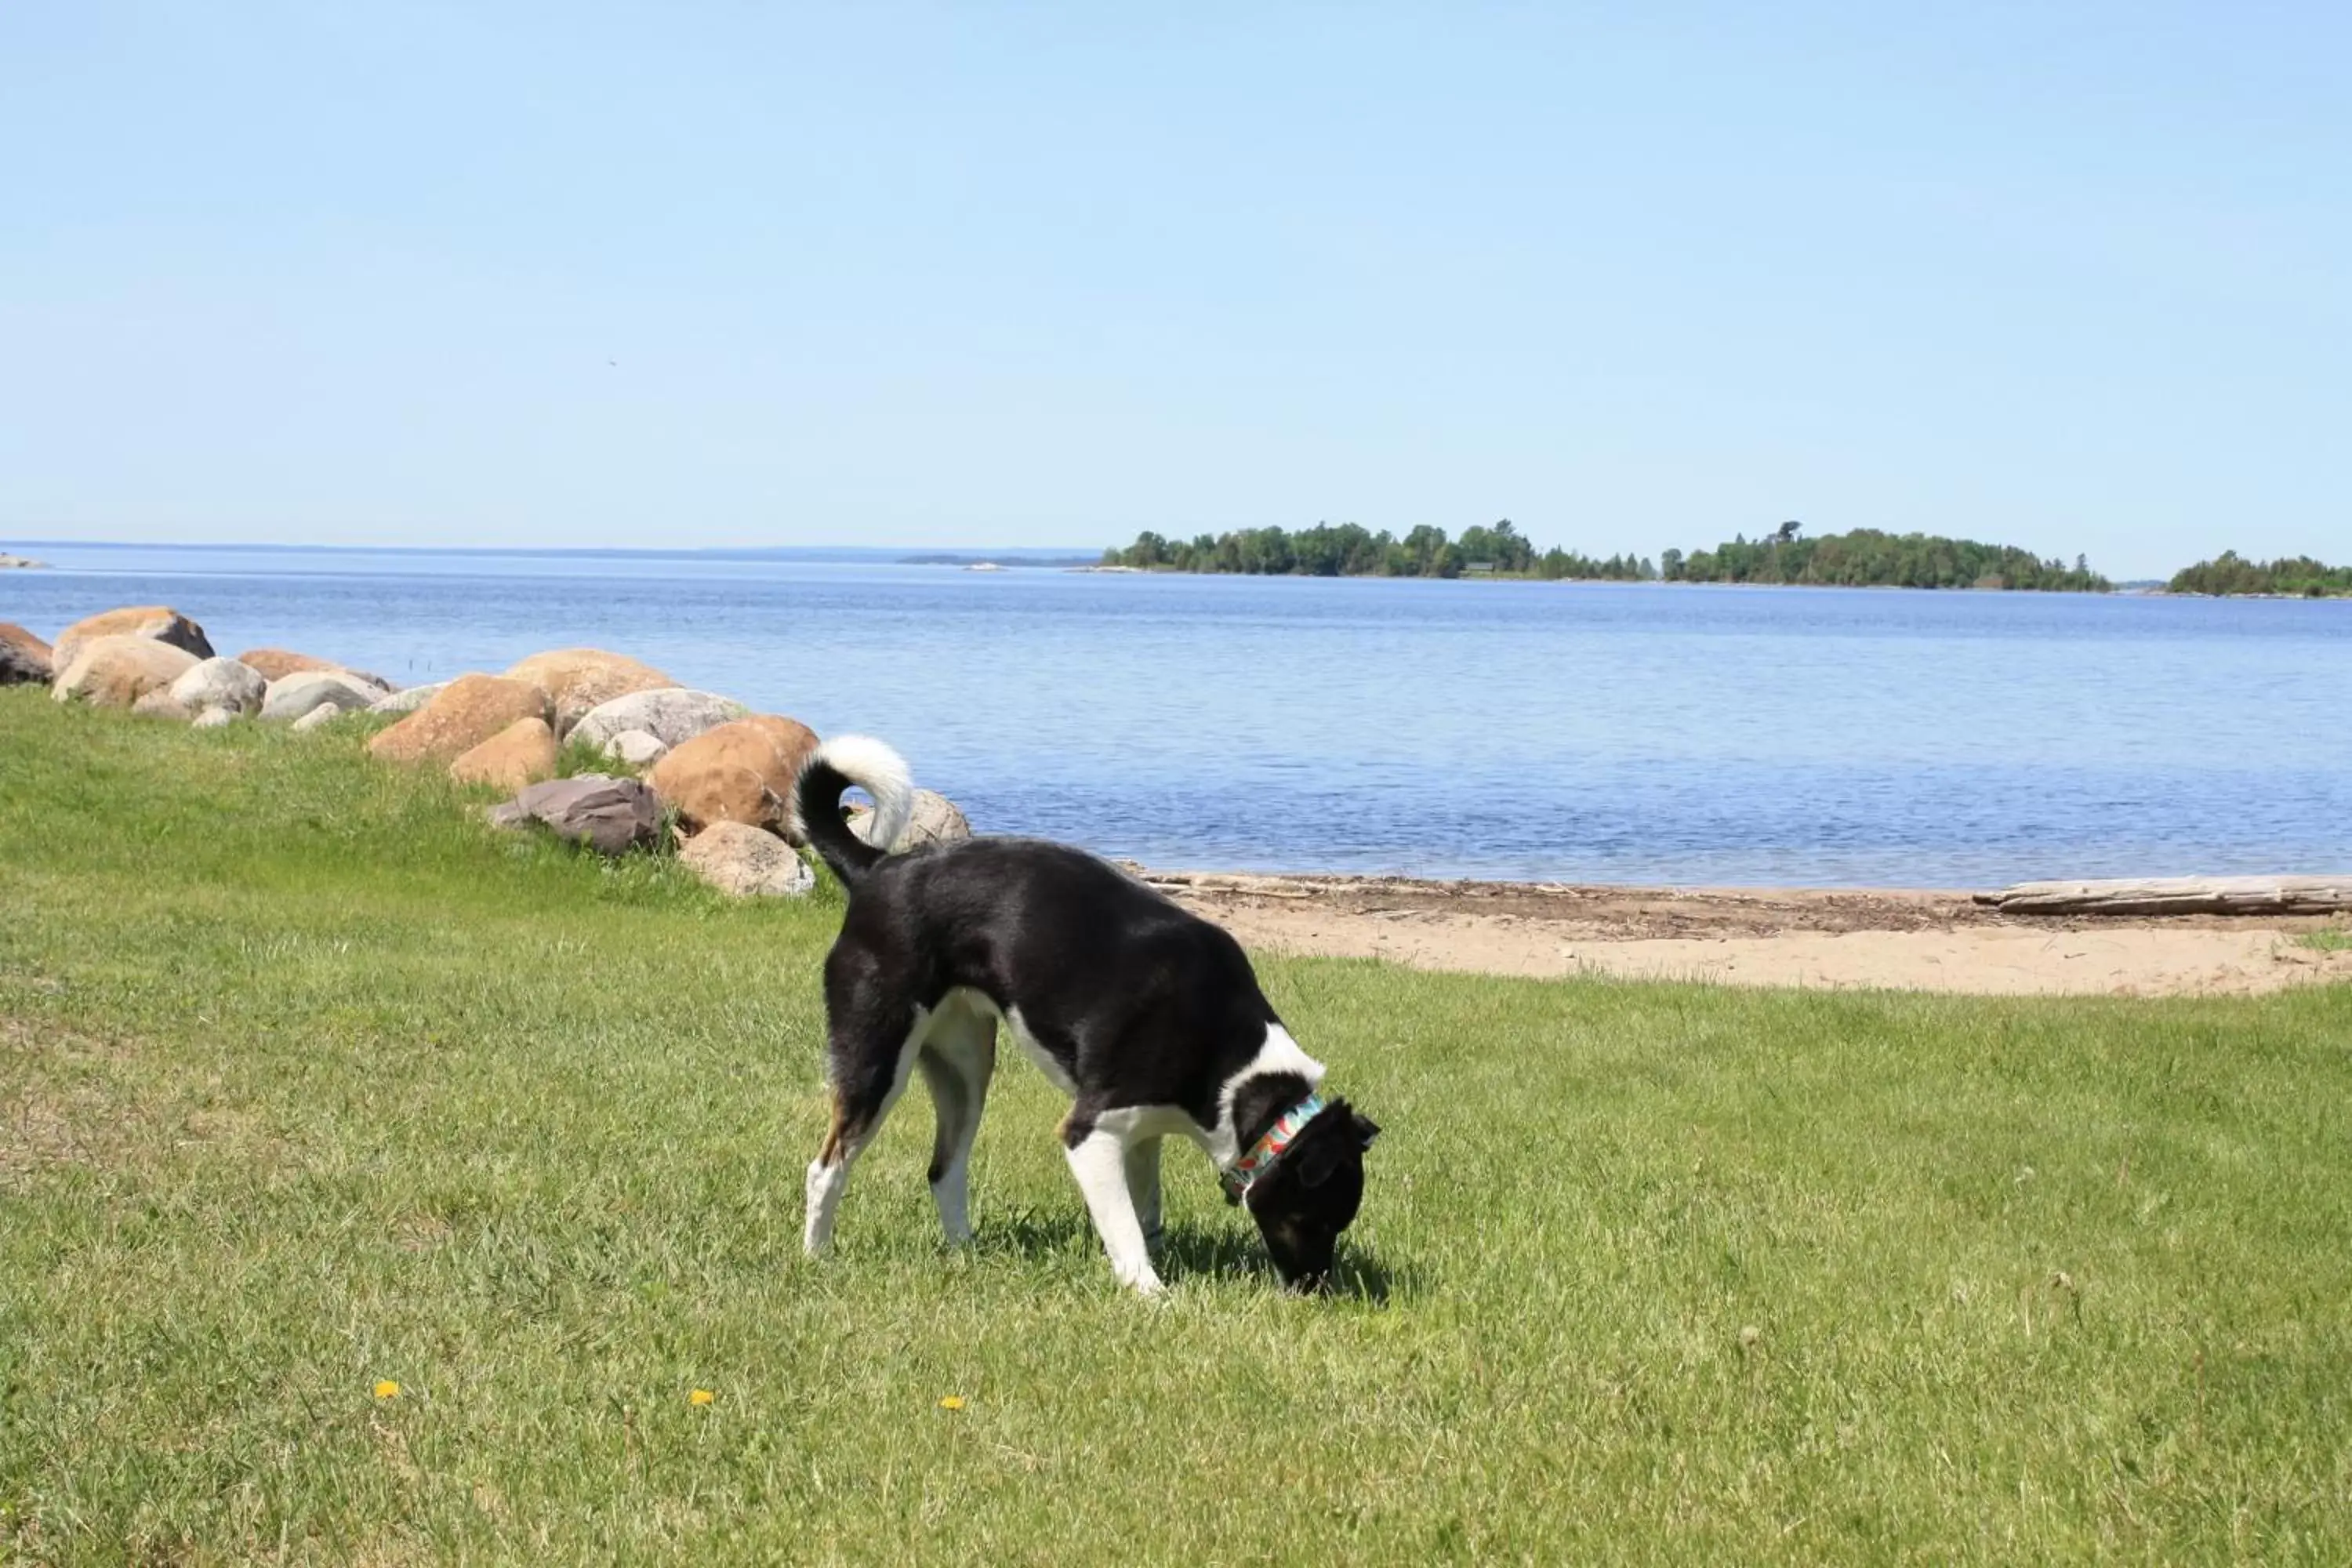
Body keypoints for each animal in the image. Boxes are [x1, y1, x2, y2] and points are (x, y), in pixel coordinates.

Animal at [790, 742, 1374, 1298]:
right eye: (1312, 1221)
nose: (1315, 1291)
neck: (1236, 1066)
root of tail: (879, 868)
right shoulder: (1090, 1135)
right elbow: (1126, 1230)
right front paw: (1151, 1293)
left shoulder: (1142, 1135)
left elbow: (1146, 1216)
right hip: (876, 1060)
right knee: (826, 1168)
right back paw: (817, 1257)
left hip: (966, 1068)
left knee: (944, 1169)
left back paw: (966, 1254)